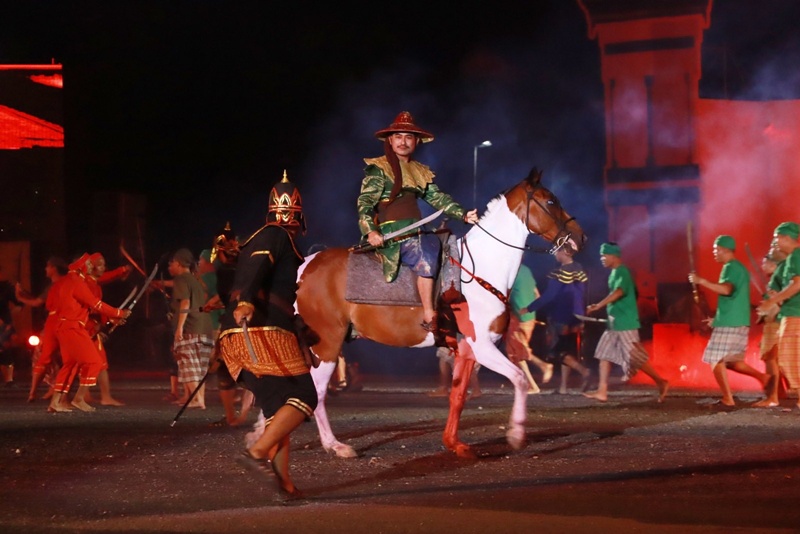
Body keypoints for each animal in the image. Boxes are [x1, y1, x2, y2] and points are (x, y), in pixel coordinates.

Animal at [295, 167, 586, 459]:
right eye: (550, 201)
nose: (580, 237)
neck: (480, 269)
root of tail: (305, 267)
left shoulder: (467, 351)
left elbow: (458, 395)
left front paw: (454, 443)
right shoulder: (482, 347)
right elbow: (519, 379)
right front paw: (515, 435)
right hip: (327, 345)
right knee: (317, 392)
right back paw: (334, 445)